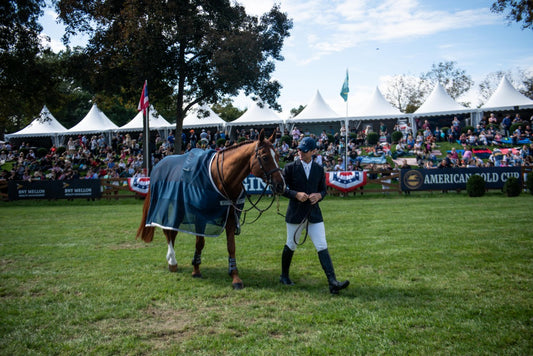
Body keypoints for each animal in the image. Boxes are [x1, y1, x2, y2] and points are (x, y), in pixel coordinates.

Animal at [137, 130, 286, 290]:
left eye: (278, 156)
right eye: (265, 157)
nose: (280, 185)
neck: (223, 177)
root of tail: (158, 166)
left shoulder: (230, 216)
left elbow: (231, 246)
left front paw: (235, 276)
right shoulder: (200, 217)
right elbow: (200, 242)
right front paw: (196, 269)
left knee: (172, 230)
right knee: (168, 230)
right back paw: (172, 261)